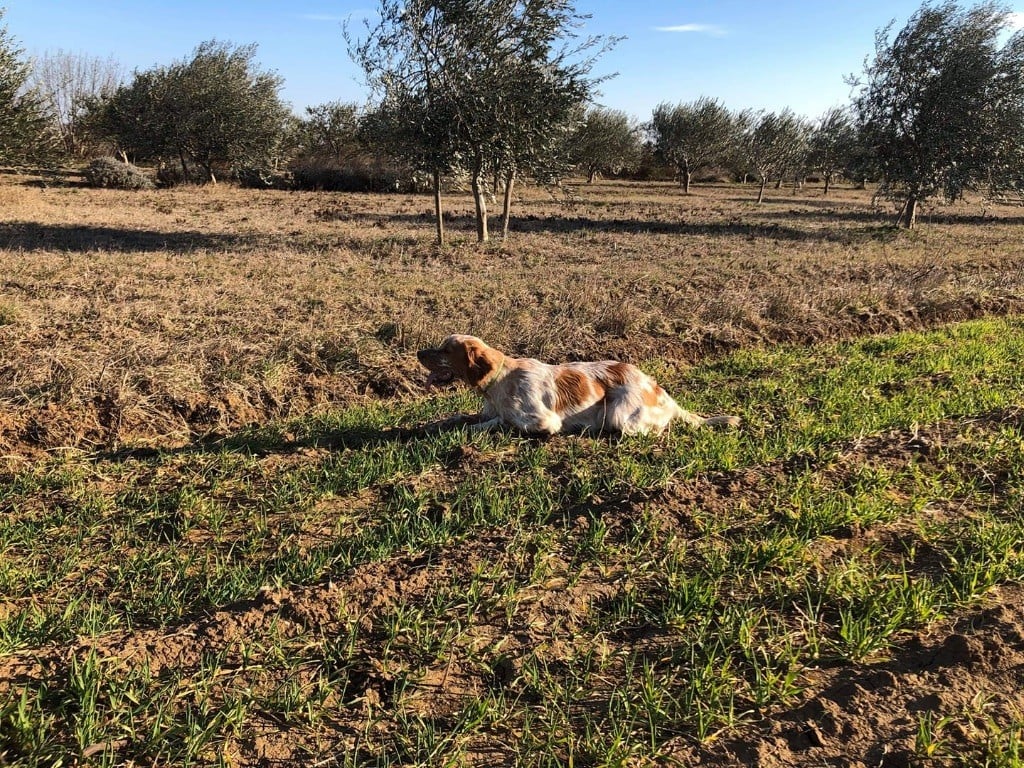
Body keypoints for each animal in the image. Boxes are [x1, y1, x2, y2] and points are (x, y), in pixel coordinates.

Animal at [415, 333, 737, 436]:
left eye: (446, 350)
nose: (418, 353)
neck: (500, 381)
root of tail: (662, 393)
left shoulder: (543, 422)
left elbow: (497, 423)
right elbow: (459, 417)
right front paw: (436, 424)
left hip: (620, 416)